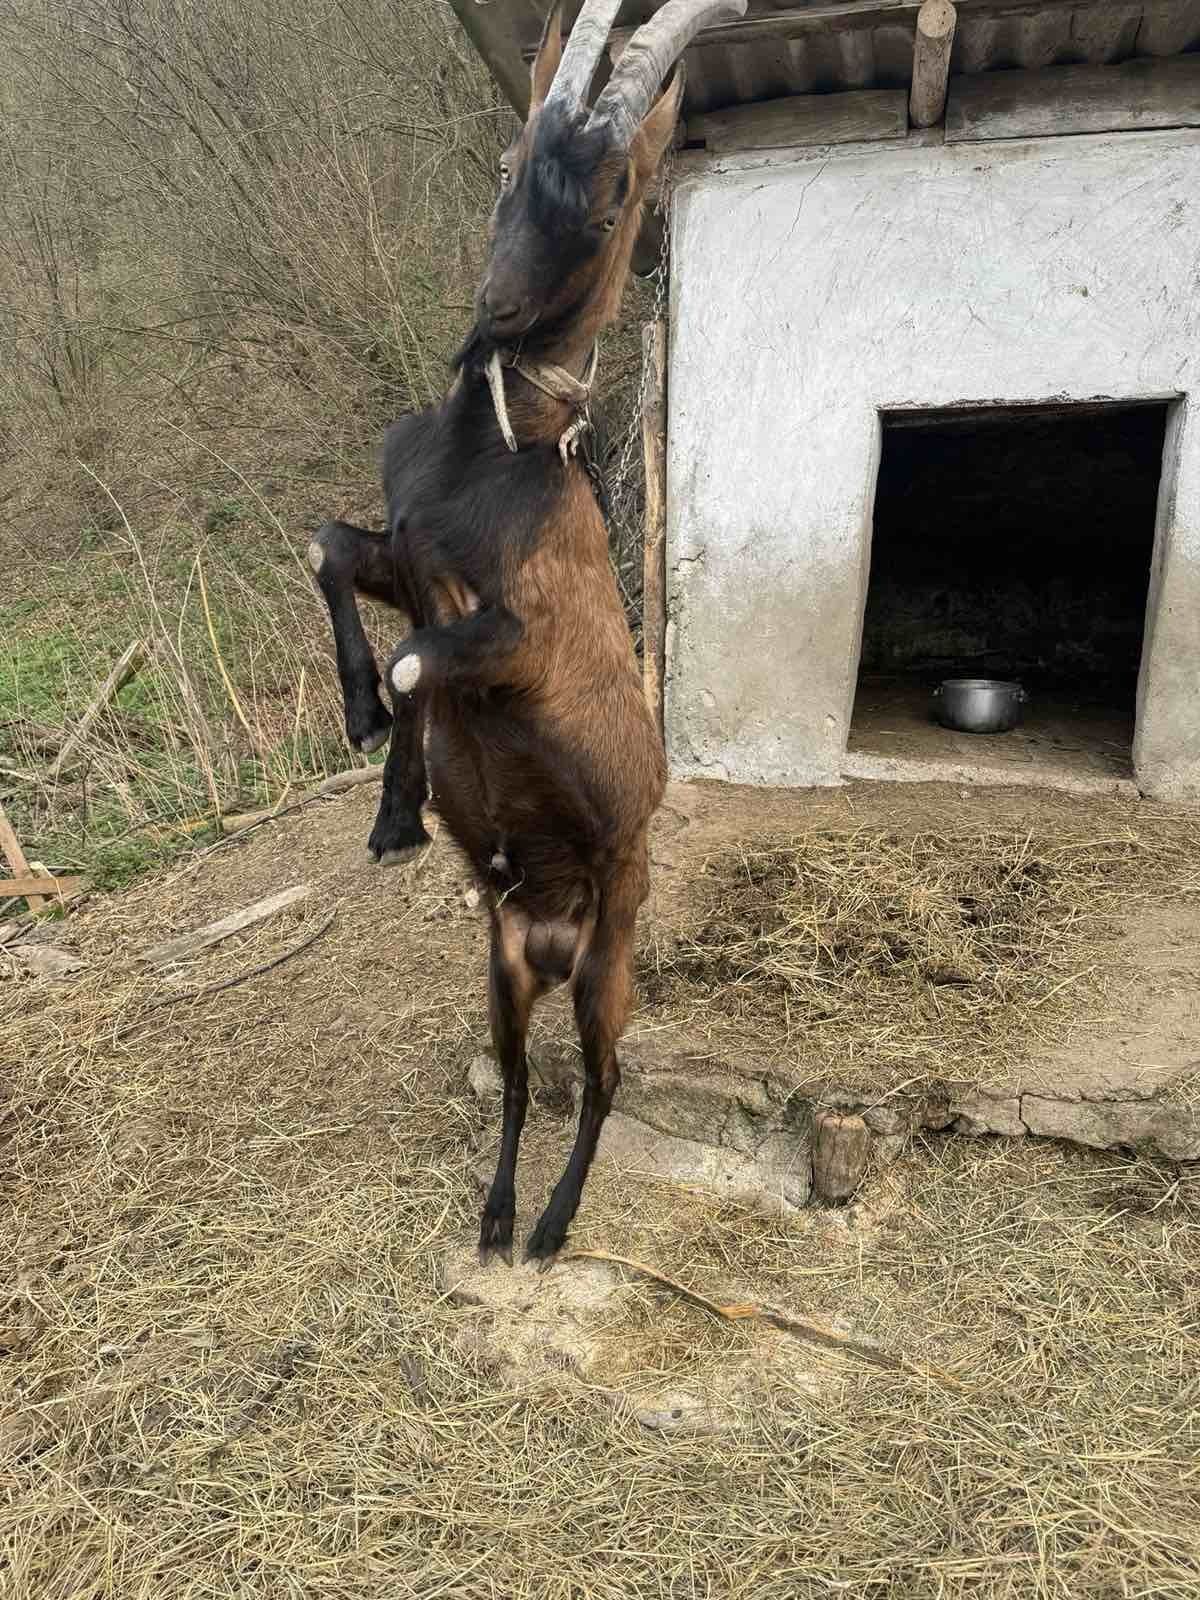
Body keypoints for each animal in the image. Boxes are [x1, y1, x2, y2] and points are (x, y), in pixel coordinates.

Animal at [305, 3, 748, 1273]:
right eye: (511, 165)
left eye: (607, 204)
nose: (497, 308)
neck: (497, 444)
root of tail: (551, 944)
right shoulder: (411, 555)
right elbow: (329, 548)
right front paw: (362, 721)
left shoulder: (517, 638)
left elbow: (425, 663)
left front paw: (401, 810)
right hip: (498, 969)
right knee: (515, 1080)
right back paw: (497, 1216)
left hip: (612, 956)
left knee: (603, 1080)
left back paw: (550, 1227)